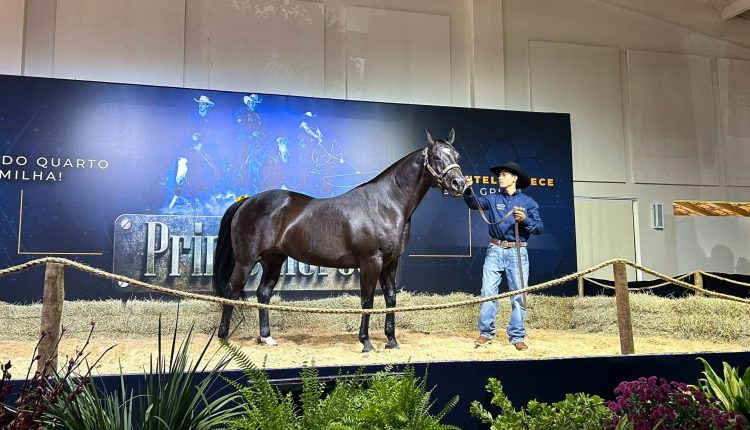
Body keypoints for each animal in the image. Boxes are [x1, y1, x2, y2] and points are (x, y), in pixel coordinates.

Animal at [212, 129, 468, 352]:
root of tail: (246, 201)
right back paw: (223, 338)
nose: (459, 184)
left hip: (273, 260)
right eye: (436, 157)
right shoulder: (370, 261)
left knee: (263, 293)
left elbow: (391, 298)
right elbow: (367, 300)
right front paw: (366, 343)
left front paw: (392, 341)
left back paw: (267, 338)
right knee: (231, 290)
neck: (385, 205)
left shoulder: (390, 262)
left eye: (457, 156)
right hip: (246, 261)